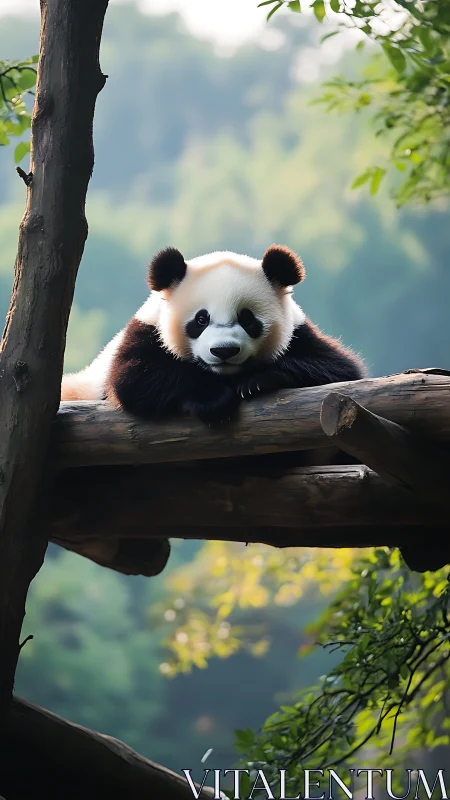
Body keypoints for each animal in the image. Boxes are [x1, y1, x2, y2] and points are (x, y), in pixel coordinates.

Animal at [61, 245, 366, 425]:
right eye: (201, 319)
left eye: (247, 318)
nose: (224, 351)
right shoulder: (147, 331)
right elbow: (135, 379)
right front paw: (213, 398)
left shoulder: (300, 334)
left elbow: (339, 370)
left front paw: (257, 381)